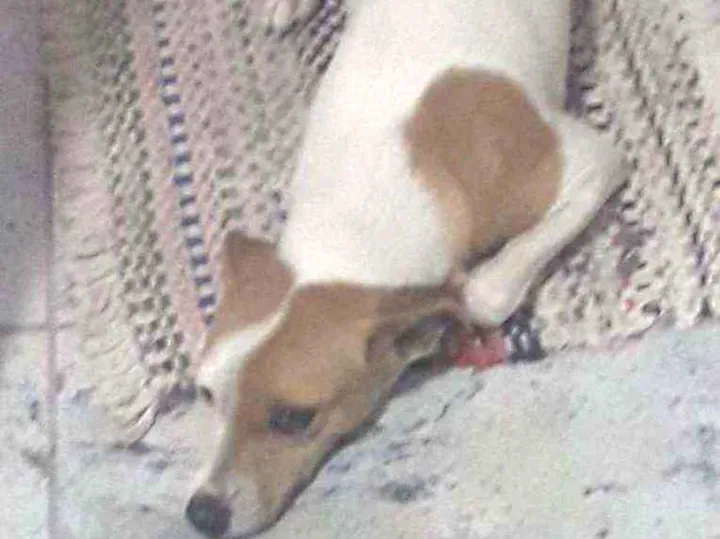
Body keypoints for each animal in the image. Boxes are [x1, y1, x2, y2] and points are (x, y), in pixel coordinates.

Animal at [185, 0, 625, 536]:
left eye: (294, 418)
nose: (202, 513)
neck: (357, 212)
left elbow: (483, 295)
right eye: (206, 394)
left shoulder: (588, 162)